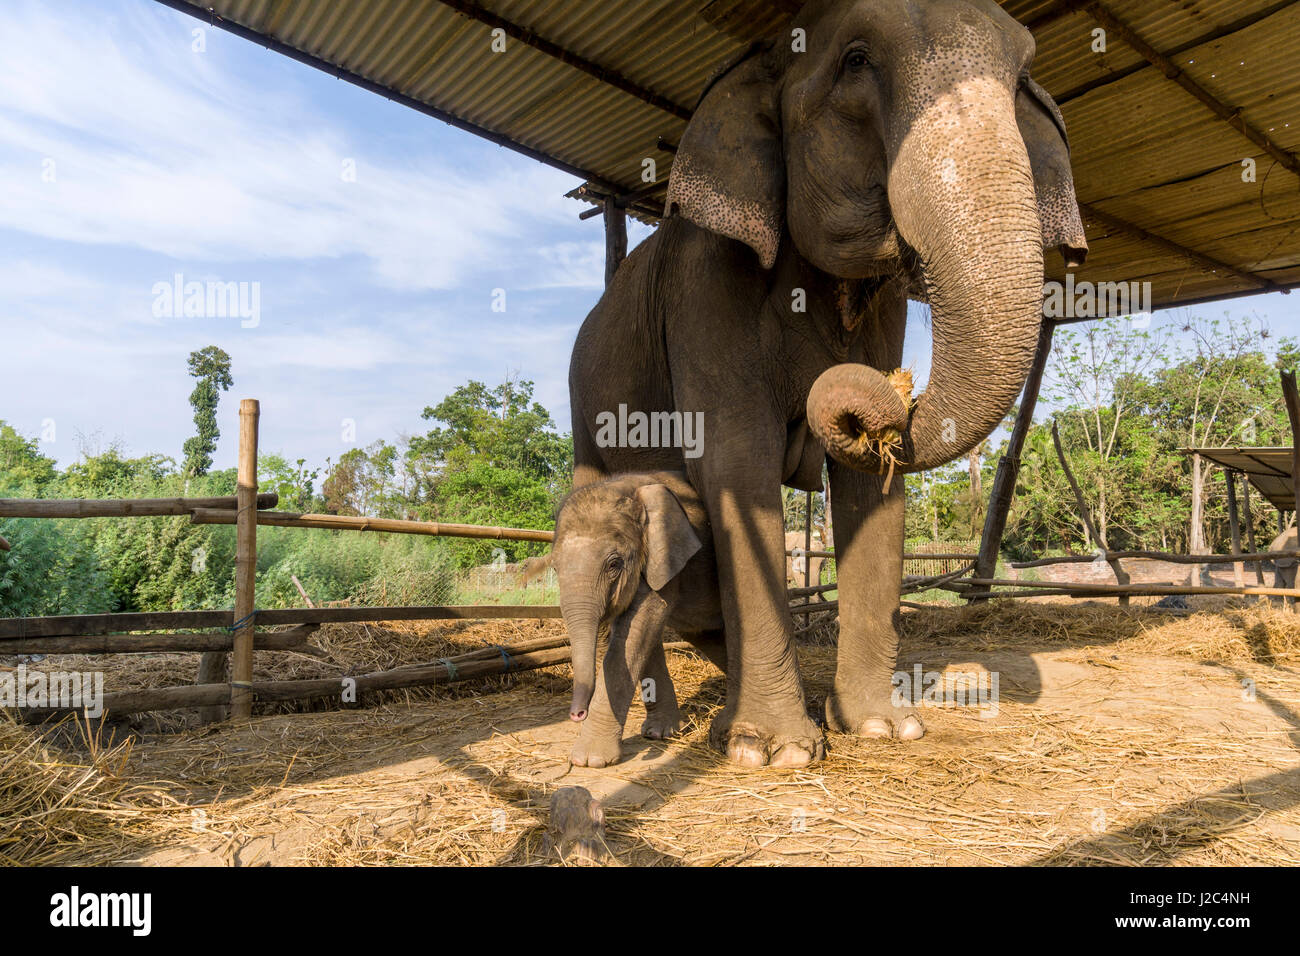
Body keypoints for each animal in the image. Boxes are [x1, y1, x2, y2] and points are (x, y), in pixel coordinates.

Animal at [527, 473, 733, 770]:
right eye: (555, 568)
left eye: (614, 564)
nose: (577, 714)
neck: (631, 485)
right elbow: (642, 635)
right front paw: (660, 734)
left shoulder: (668, 560)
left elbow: (639, 625)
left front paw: (589, 760)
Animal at [569, 0, 1086, 764]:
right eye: (856, 61)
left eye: (1023, 75)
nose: (890, 389)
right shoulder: (705, 283)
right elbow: (737, 462)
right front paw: (770, 751)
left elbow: (873, 484)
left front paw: (881, 728)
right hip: (582, 397)